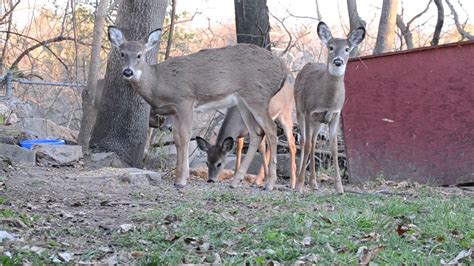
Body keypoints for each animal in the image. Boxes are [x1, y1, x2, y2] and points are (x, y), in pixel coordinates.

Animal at [107, 26, 286, 190]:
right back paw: (236, 182)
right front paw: (177, 178)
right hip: (243, 102)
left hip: (258, 96)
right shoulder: (174, 110)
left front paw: (182, 181)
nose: (128, 72)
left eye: (140, 55)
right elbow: (177, 139)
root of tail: (282, 68)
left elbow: (185, 136)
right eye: (122, 53)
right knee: (257, 132)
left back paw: (269, 184)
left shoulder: (185, 100)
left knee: (271, 129)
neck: (159, 82)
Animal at [292, 21, 366, 193]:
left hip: (318, 122)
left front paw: (339, 188)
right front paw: (299, 185)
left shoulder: (334, 116)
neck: (327, 100)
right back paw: (299, 180)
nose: (338, 61)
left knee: (313, 142)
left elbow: (334, 149)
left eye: (347, 49)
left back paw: (313, 182)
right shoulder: (309, 112)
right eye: (331, 47)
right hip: (299, 111)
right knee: (305, 142)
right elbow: (306, 145)